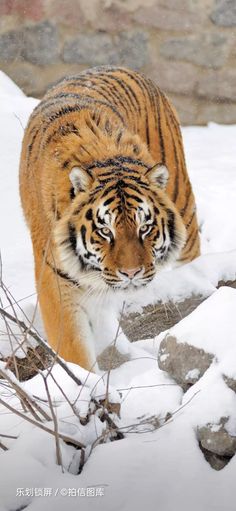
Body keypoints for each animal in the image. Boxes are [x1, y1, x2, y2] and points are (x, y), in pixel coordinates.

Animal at [18, 66, 199, 372]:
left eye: (145, 227)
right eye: (105, 231)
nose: (131, 273)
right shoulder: (56, 282)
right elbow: (75, 352)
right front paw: (85, 381)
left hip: (181, 201)